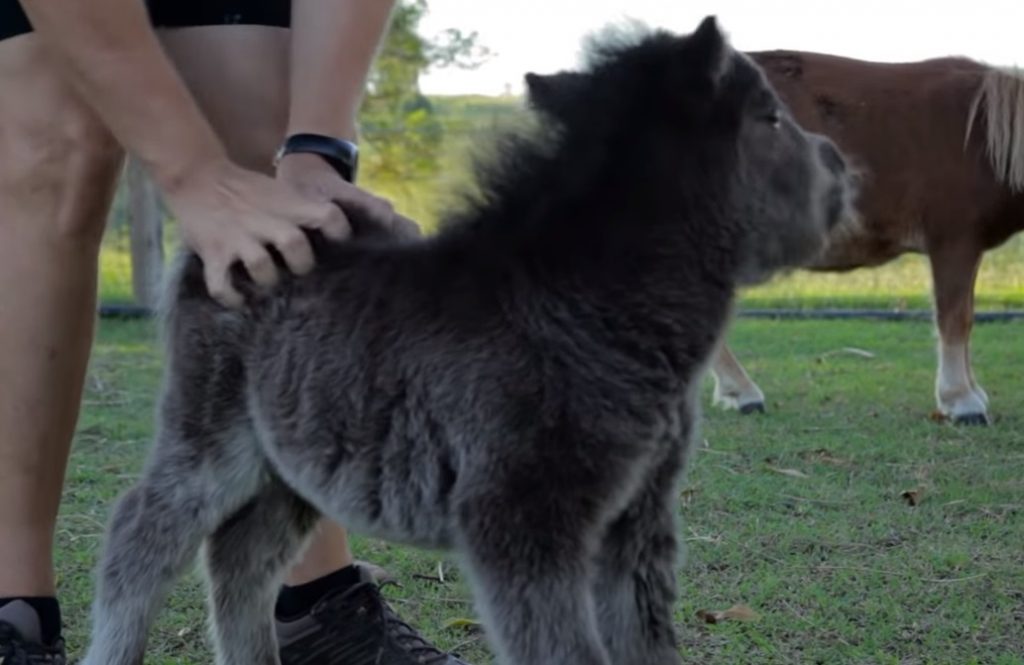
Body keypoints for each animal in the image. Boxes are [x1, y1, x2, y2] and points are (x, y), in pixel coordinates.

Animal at [79, 15, 851, 663]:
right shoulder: (519, 521)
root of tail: (220, 242)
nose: (841, 164)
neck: (590, 308)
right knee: (140, 532)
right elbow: (561, 651)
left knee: (243, 557)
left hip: (292, 455)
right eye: (772, 118)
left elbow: (646, 642)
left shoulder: (638, 523)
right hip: (212, 431)